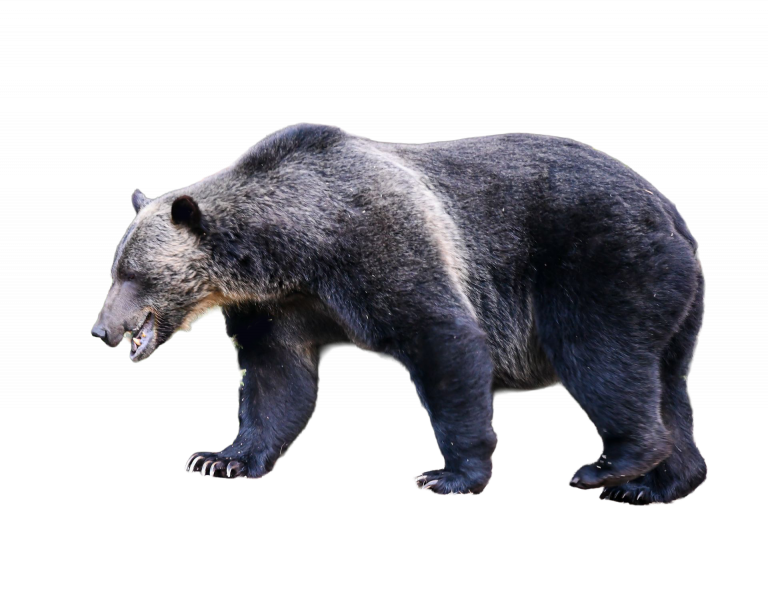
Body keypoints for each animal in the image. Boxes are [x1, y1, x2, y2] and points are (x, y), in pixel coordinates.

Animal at [91, 122, 706, 504]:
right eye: (114, 270)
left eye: (134, 276)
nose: (101, 330)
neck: (292, 247)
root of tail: (674, 213)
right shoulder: (277, 305)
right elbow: (275, 381)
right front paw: (219, 458)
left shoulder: (376, 240)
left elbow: (444, 337)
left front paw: (446, 475)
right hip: (673, 304)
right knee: (666, 383)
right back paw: (657, 483)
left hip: (605, 263)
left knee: (601, 358)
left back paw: (609, 465)